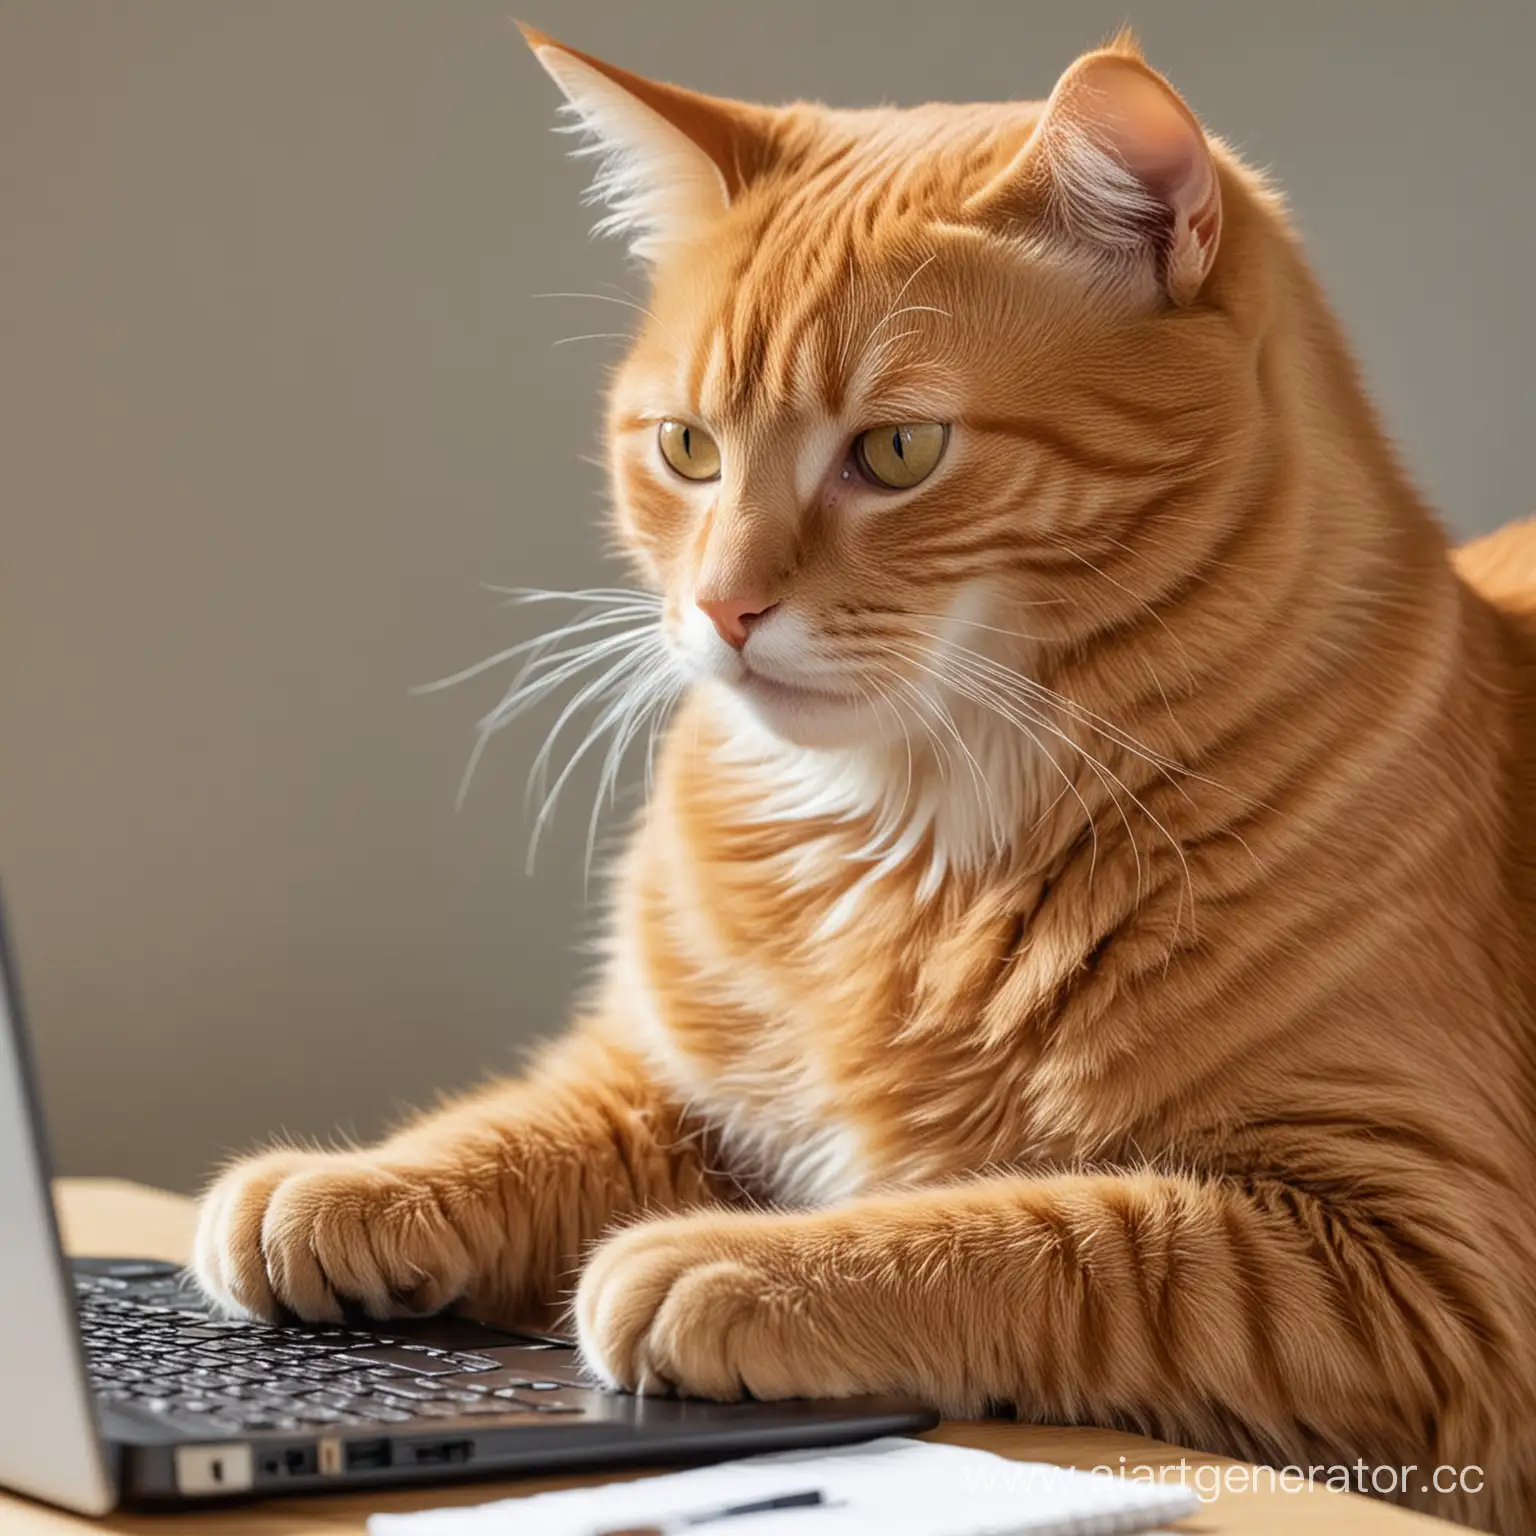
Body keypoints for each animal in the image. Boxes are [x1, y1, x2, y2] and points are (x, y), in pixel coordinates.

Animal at [192, 27, 1536, 1536]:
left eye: (897, 452)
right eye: (688, 449)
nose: (722, 607)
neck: (902, 839)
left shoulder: (1422, 1272)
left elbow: (1066, 1234)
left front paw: (742, 1265)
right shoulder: (662, 1082)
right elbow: (524, 1124)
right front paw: (342, 1182)